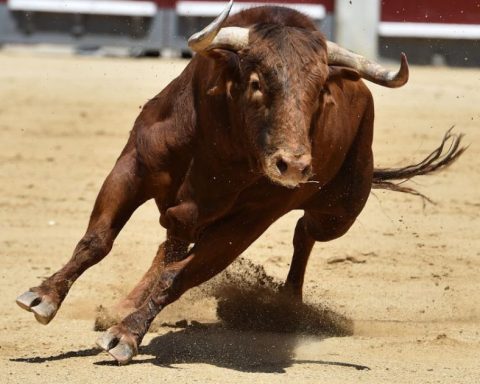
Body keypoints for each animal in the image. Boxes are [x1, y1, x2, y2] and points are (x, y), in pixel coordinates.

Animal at [16, 0, 464, 366]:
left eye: (321, 93)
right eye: (257, 83)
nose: (294, 166)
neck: (220, 142)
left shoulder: (247, 224)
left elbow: (177, 276)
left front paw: (126, 334)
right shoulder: (133, 166)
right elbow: (97, 240)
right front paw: (43, 296)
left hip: (340, 210)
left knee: (303, 234)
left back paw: (286, 306)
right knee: (172, 242)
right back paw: (119, 304)